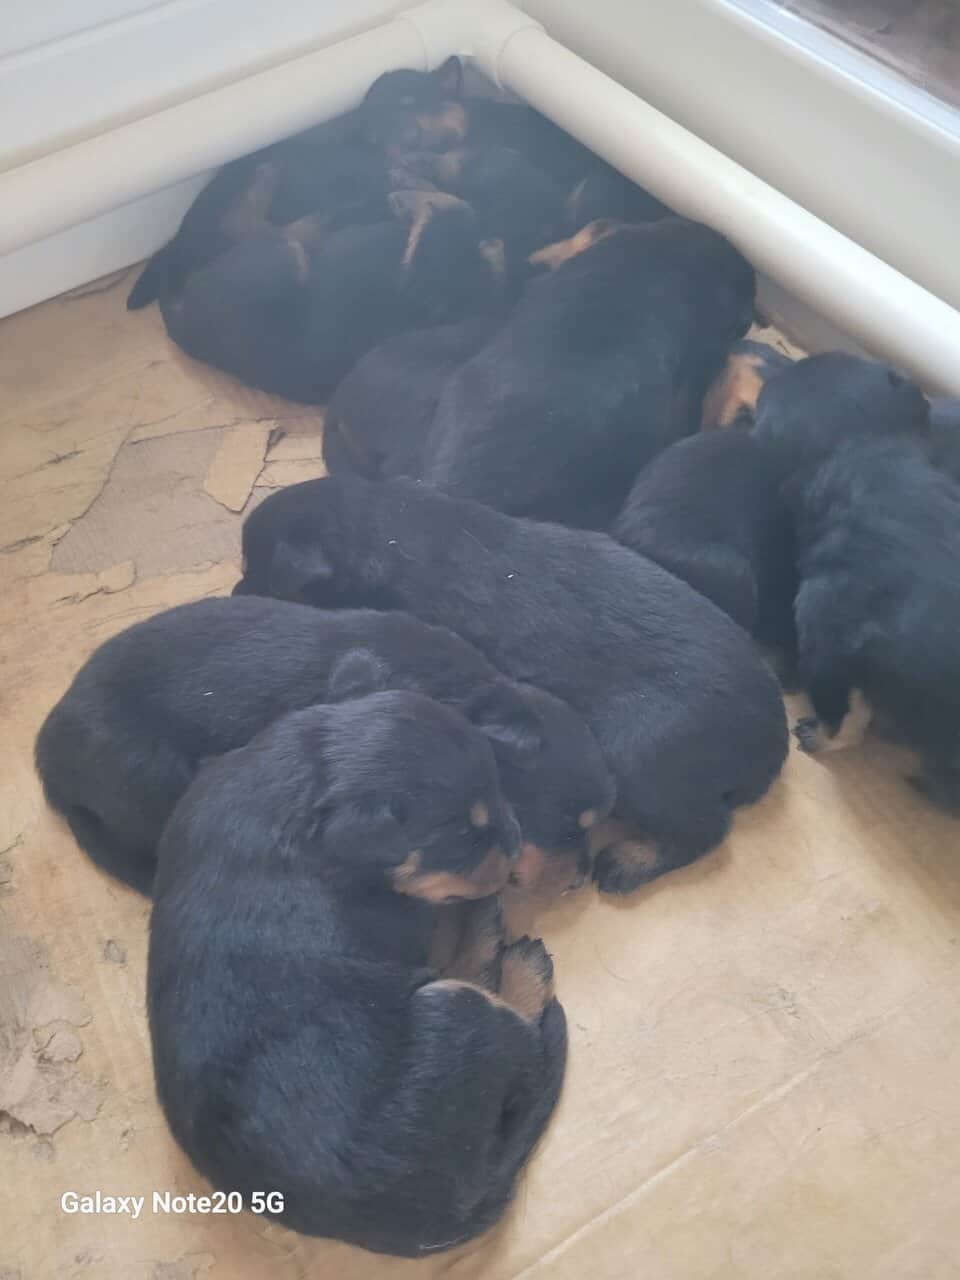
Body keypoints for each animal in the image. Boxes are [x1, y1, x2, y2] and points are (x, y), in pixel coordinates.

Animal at [148, 691, 567, 1255]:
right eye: (462, 836)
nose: (519, 839)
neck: (302, 784)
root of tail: (439, 1217)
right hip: (453, 1013)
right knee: (512, 1030)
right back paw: (512, 960)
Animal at [235, 476, 789, 892]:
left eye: (257, 571)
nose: (236, 591)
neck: (384, 526)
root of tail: (772, 742)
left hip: (640, 757)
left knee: (705, 830)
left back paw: (629, 862)